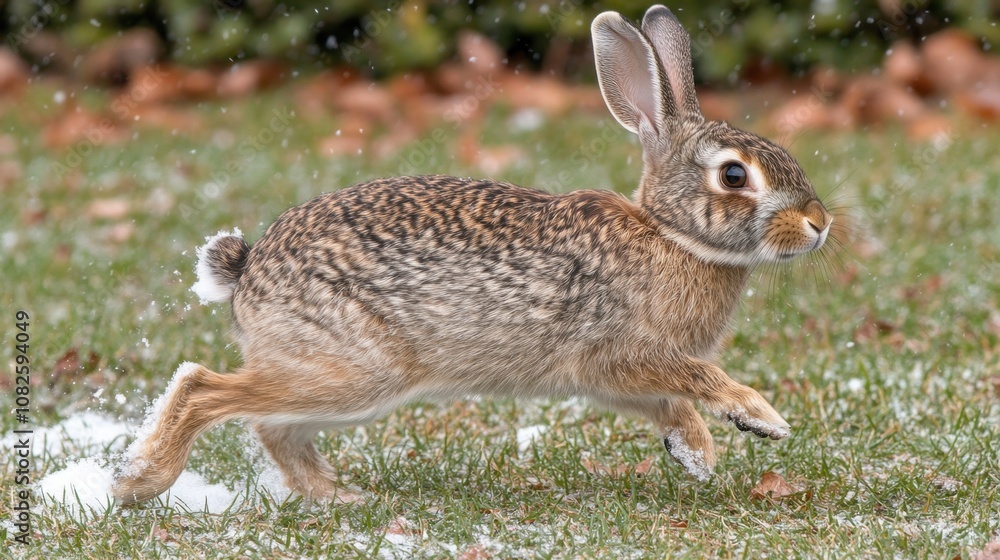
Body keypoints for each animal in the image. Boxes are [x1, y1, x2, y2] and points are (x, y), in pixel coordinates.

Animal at [113, 4, 832, 505]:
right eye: (734, 176)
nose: (819, 224)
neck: (669, 234)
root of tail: (247, 269)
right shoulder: (621, 353)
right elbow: (699, 378)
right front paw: (760, 417)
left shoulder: (614, 380)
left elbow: (669, 403)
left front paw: (697, 453)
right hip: (353, 371)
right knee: (204, 388)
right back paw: (140, 481)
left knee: (271, 427)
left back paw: (340, 496)